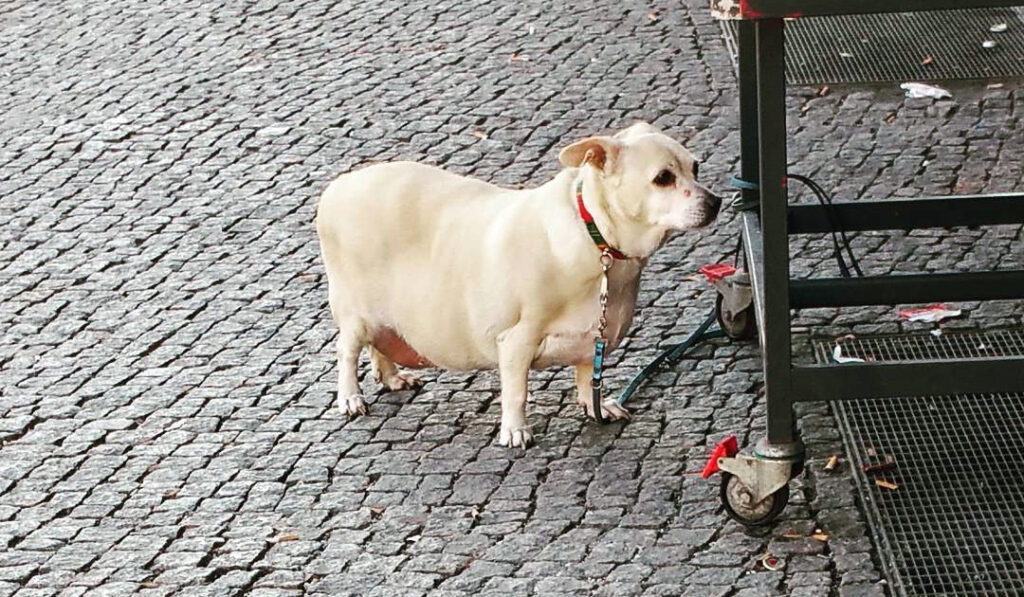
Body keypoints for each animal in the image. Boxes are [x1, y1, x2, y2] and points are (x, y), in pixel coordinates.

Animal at [315, 122, 724, 448]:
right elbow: (516, 393)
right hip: (356, 313)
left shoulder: (593, 337)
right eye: (663, 178)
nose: (716, 202)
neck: (595, 237)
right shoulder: (516, 342)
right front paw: (514, 431)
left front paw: (595, 406)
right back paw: (350, 396)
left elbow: (587, 377)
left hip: (382, 317)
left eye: (696, 167)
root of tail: (339, 186)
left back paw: (392, 377)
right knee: (347, 350)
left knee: (378, 347)